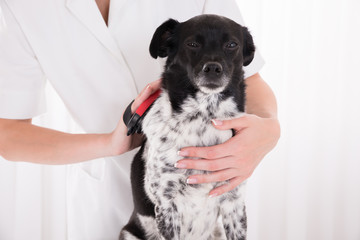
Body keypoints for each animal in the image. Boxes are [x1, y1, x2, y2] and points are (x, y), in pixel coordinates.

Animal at [121, 14, 256, 240]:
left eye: (232, 44)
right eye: (192, 44)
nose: (213, 68)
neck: (204, 118)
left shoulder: (233, 200)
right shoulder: (167, 206)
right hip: (128, 233)